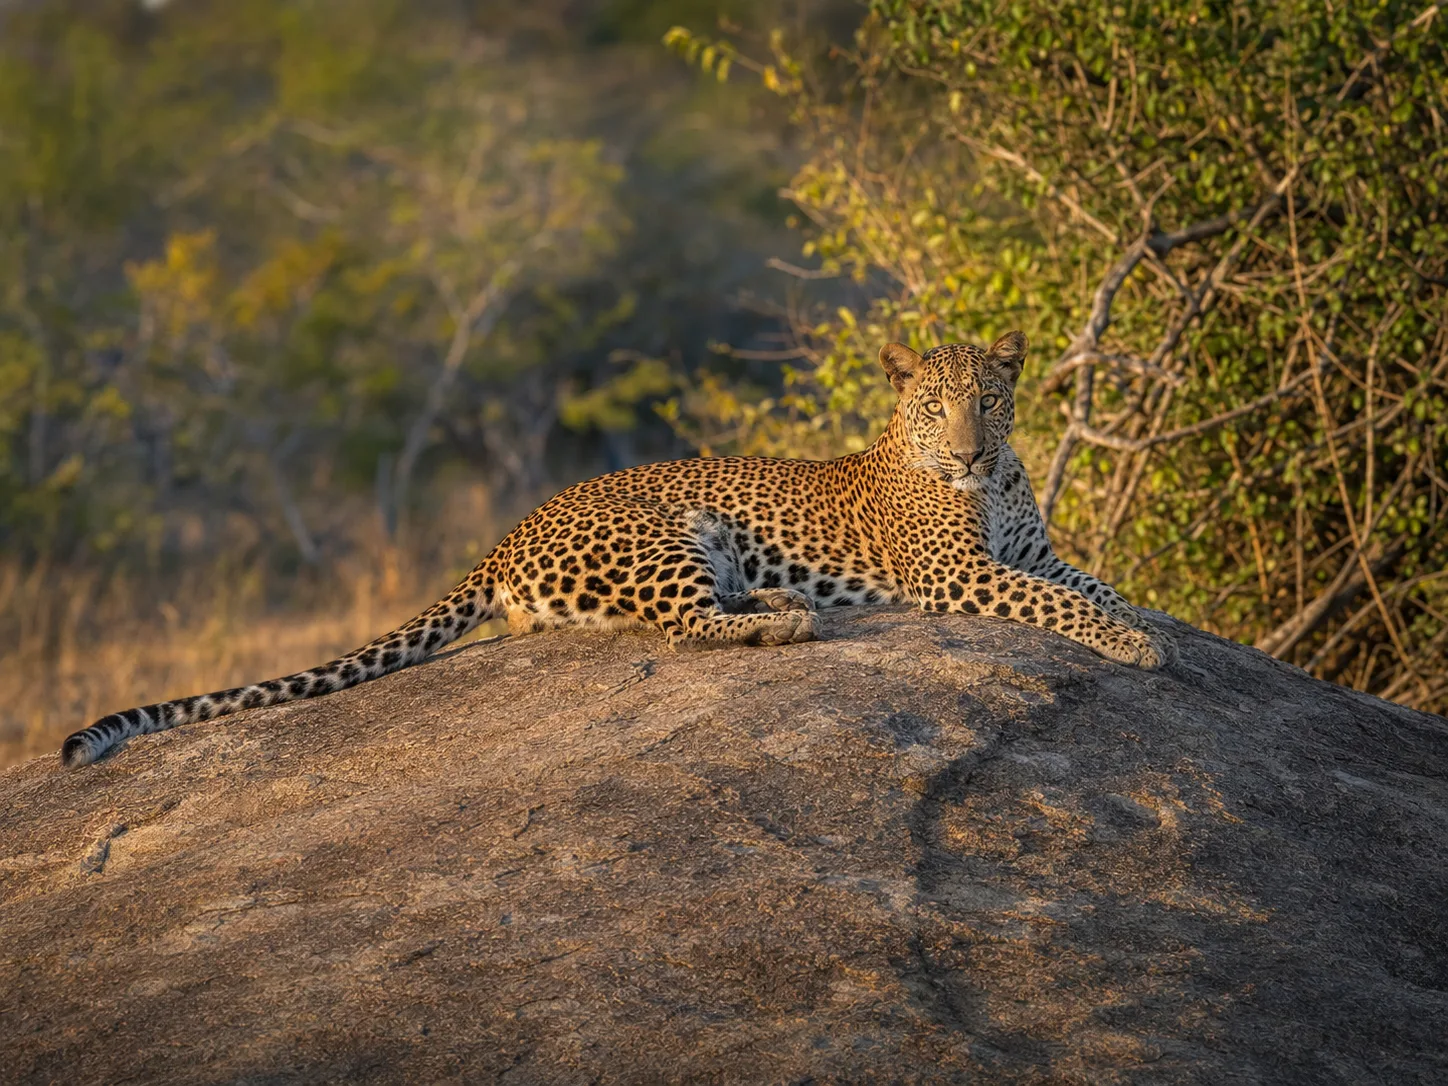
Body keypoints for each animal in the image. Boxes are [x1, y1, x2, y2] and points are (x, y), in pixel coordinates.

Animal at [61, 331, 1173, 768]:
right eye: (934, 406)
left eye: (989, 400)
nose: (969, 448)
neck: (993, 480)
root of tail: (509, 528)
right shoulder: (959, 572)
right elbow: (1066, 606)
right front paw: (1137, 648)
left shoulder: (1033, 553)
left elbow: (1096, 582)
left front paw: (1144, 622)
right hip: (667, 533)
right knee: (685, 630)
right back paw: (787, 625)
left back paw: (780, 609)